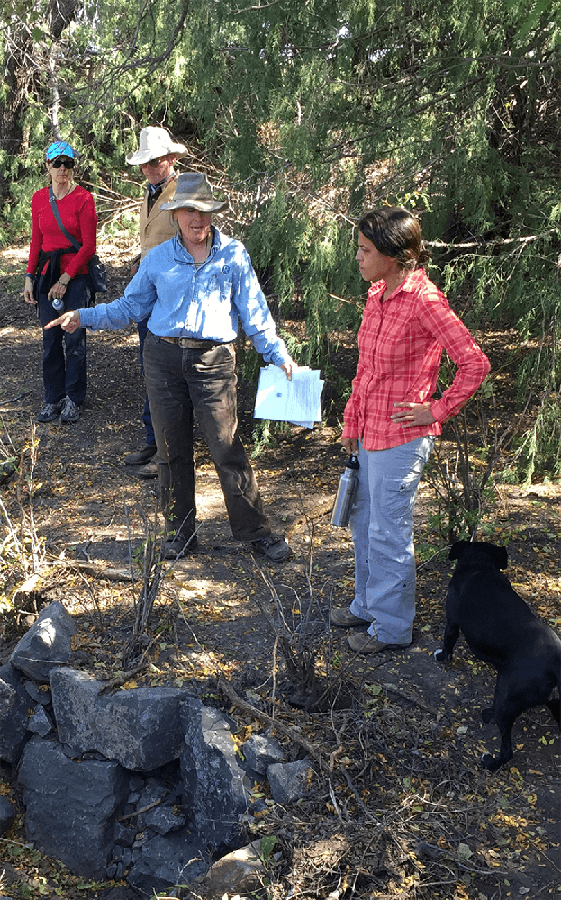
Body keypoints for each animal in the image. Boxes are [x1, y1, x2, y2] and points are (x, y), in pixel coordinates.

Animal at [436, 536, 556, 768]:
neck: (479, 565)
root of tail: (555, 664)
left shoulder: (452, 622)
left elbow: (448, 642)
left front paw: (441, 657)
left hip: (505, 698)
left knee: (507, 750)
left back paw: (491, 762)